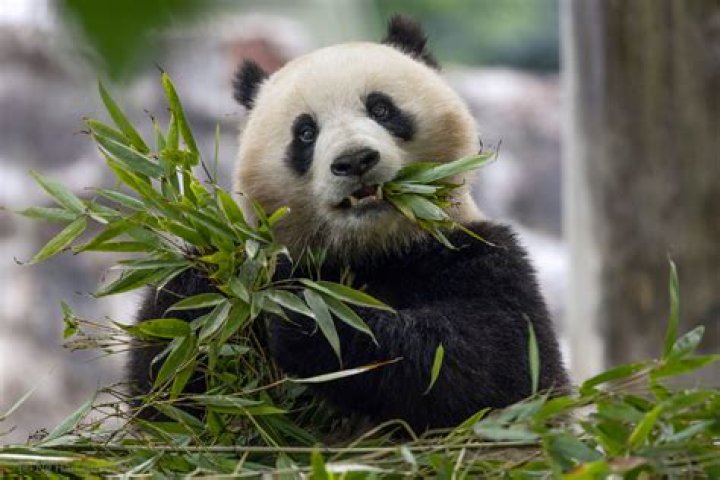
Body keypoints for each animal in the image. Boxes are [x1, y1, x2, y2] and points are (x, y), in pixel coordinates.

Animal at [128, 16, 569, 433]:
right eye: (305, 132)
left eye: (381, 109)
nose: (355, 160)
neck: (371, 250)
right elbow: (168, 391)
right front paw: (206, 284)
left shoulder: (477, 252)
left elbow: (496, 365)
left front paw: (310, 319)